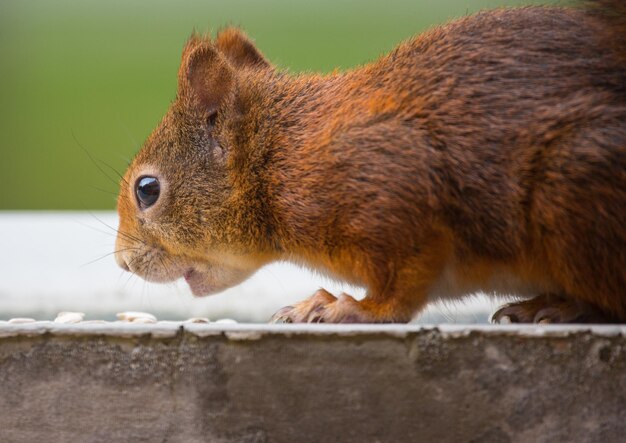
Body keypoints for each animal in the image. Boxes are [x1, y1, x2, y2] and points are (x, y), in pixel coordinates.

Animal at [114, 0, 620, 326]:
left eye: (147, 189)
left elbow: (402, 290)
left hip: (572, 192)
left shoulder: (396, 190)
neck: (280, 159)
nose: (122, 263)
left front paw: (346, 307)